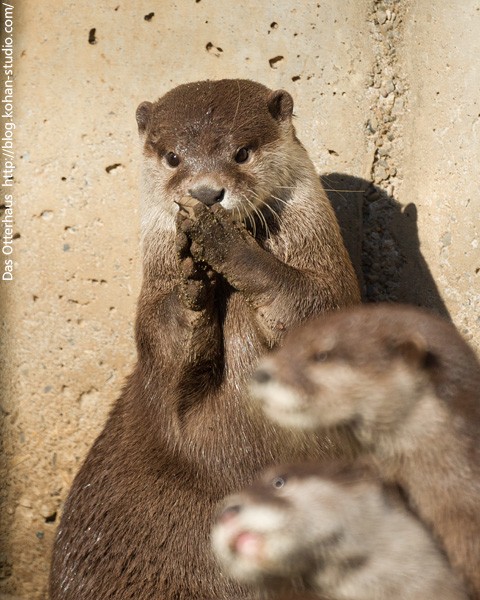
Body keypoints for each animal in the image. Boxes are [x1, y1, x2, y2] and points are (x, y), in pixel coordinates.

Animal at [48, 79, 360, 600]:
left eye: (241, 153)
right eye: (174, 158)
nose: (205, 192)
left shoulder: (333, 289)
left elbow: (313, 308)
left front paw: (224, 244)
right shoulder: (155, 345)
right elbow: (164, 342)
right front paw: (190, 281)